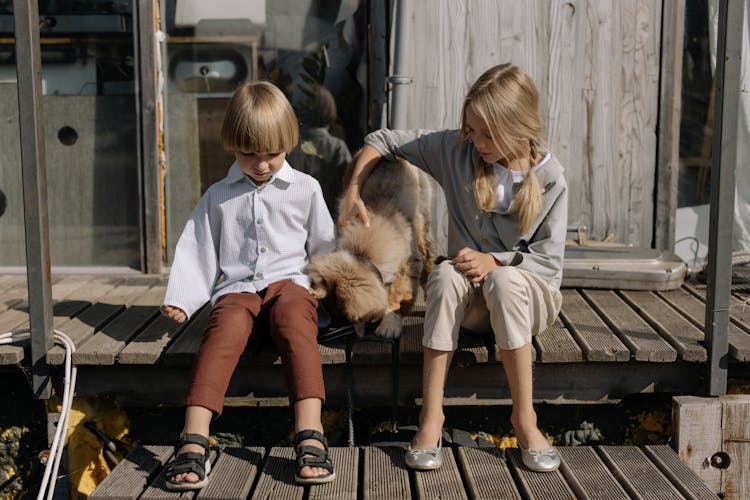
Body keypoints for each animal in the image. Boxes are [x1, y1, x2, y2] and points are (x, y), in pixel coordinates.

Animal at [306, 158, 434, 338]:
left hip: (424, 218)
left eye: (342, 317)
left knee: (428, 255)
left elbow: (397, 295)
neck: (363, 253)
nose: (332, 329)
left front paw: (389, 326)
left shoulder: (408, 265)